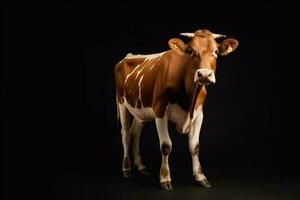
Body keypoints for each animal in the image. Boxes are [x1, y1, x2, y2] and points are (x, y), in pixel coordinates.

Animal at [113, 28, 238, 190]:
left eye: (215, 51)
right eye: (191, 51)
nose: (204, 74)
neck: (188, 100)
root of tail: (127, 57)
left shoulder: (199, 114)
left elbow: (195, 146)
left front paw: (200, 177)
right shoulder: (160, 110)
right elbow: (166, 146)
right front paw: (165, 178)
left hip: (140, 111)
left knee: (135, 133)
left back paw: (141, 167)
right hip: (121, 102)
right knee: (126, 134)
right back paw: (126, 168)